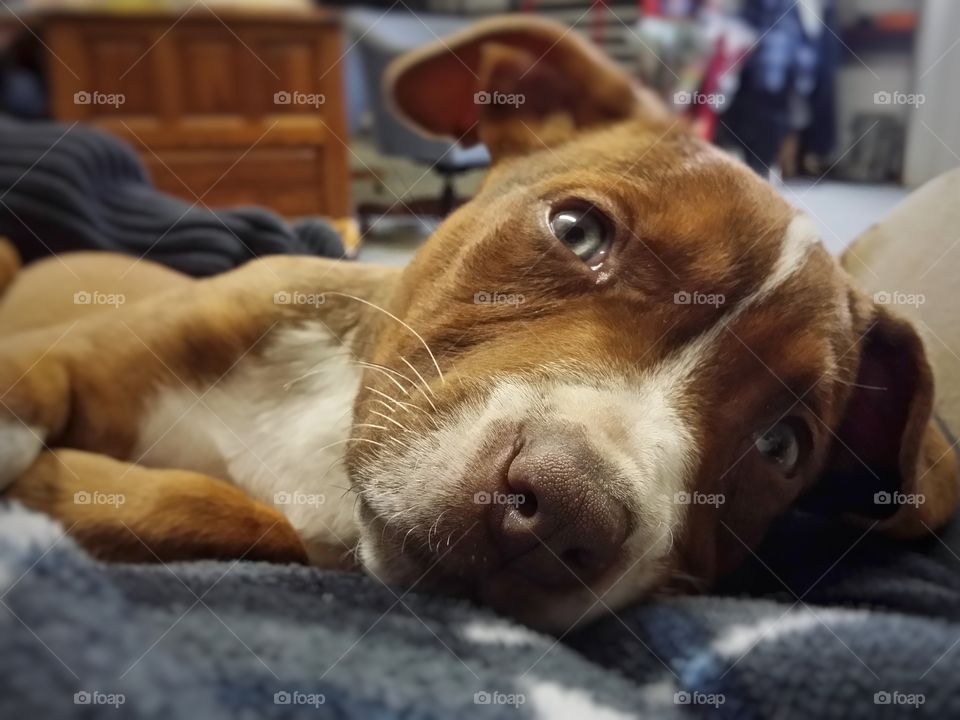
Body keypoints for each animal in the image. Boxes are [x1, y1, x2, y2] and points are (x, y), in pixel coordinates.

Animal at [0, 16, 956, 632]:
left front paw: (64, 492)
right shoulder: (76, 350)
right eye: (577, 231)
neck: (320, 423)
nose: (564, 515)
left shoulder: (314, 540)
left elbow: (241, 519)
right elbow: (27, 384)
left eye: (781, 446)